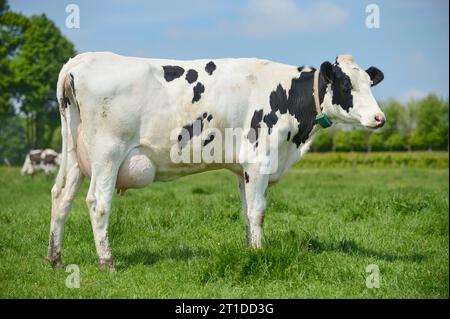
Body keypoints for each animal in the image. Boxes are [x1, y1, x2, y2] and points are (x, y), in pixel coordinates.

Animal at [47, 52, 384, 270]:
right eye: (346, 85)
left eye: (370, 84)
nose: (380, 118)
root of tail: (79, 60)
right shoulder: (260, 160)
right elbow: (259, 212)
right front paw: (260, 252)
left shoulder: (243, 168)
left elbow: (247, 213)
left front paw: (250, 250)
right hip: (108, 153)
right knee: (97, 202)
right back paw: (107, 262)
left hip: (75, 155)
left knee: (61, 196)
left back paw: (54, 258)